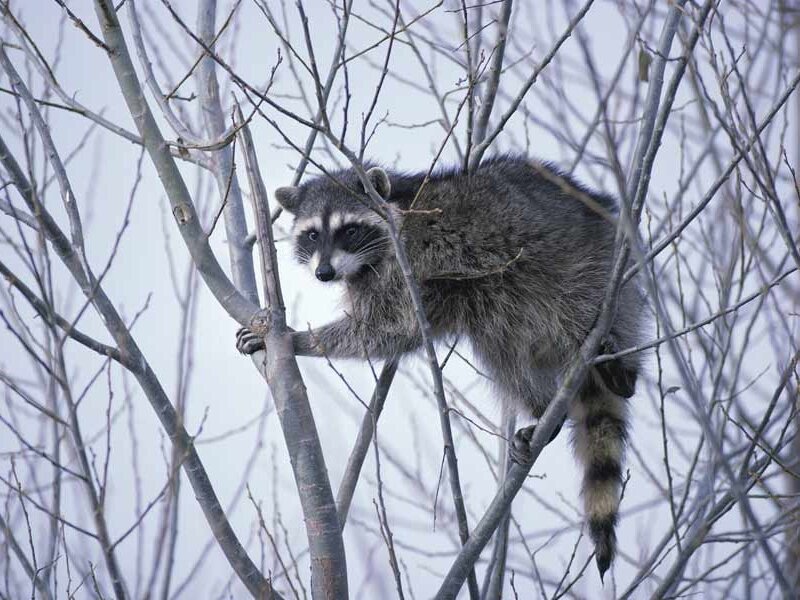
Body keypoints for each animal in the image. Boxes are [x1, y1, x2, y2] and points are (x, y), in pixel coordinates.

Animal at [236, 155, 644, 578]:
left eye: (349, 230)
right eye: (313, 235)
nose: (324, 273)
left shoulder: (408, 263)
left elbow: (387, 327)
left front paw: (300, 339)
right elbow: (393, 334)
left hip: (586, 267)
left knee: (573, 306)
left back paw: (620, 368)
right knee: (501, 348)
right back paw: (542, 408)